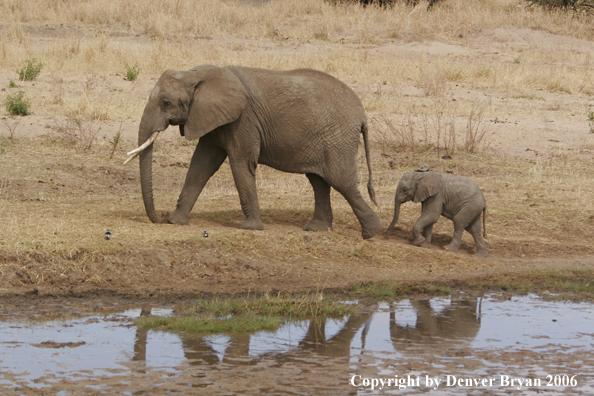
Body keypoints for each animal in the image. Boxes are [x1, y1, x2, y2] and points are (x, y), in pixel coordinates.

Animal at [126, 65, 382, 238]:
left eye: (166, 103)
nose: (160, 217)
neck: (197, 74)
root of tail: (362, 114)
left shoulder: (243, 120)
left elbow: (240, 163)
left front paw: (249, 227)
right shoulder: (212, 119)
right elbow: (201, 164)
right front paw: (176, 221)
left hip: (337, 138)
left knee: (341, 181)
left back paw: (371, 232)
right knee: (319, 181)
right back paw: (316, 229)